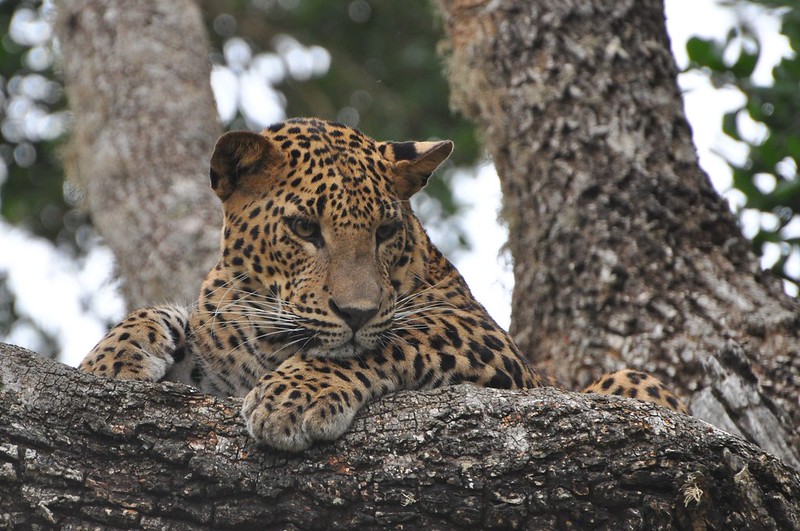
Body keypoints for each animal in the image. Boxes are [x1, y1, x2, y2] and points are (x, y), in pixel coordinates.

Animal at [78, 118, 684, 450]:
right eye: (304, 228)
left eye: (387, 230)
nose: (357, 312)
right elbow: (169, 317)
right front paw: (108, 362)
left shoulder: (485, 340)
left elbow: (386, 341)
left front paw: (293, 396)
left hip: (631, 382)